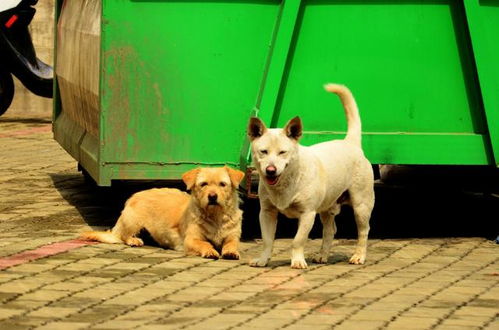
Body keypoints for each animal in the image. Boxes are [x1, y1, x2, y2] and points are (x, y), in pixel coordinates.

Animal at [80, 166, 246, 260]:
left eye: (222, 184)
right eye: (203, 184)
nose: (212, 196)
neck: (216, 216)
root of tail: (134, 195)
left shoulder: (232, 237)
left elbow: (231, 244)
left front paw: (230, 252)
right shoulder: (191, 240)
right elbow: (204, 243)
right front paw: (210, 251)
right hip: (133, 222)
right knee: (123, 236)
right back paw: (133, 240)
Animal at [248, 82, 374, 268]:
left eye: (282, 152)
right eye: (263, 152)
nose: (270, 170)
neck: (287, 181)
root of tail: (350, 143)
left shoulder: (307, 214)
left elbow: (298, 240)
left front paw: (297, 261)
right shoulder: (266, 213)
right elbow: (267, 240)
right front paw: (263, 260)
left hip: (361, 206)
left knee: (364, 230)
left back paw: (359, 256)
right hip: (328, 207)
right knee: (330, 230)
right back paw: (322, 255)